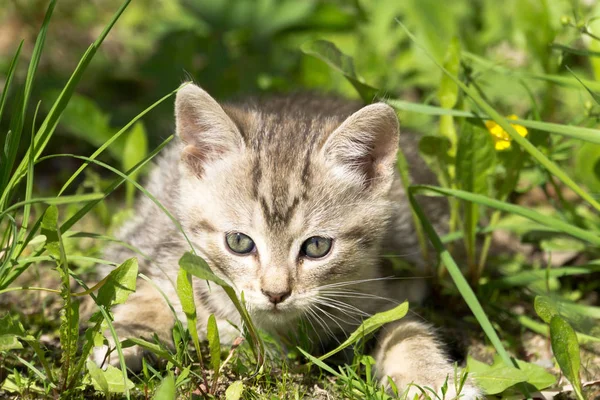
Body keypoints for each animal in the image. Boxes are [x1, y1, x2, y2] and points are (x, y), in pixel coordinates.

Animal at [91, 83, 480, 398]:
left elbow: (407, 329)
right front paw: (124, 341)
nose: (276, 293)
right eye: (239, 242)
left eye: (318, 247)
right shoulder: (167, 257)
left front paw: (433, 378)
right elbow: (147, 298)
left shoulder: (381, 295)